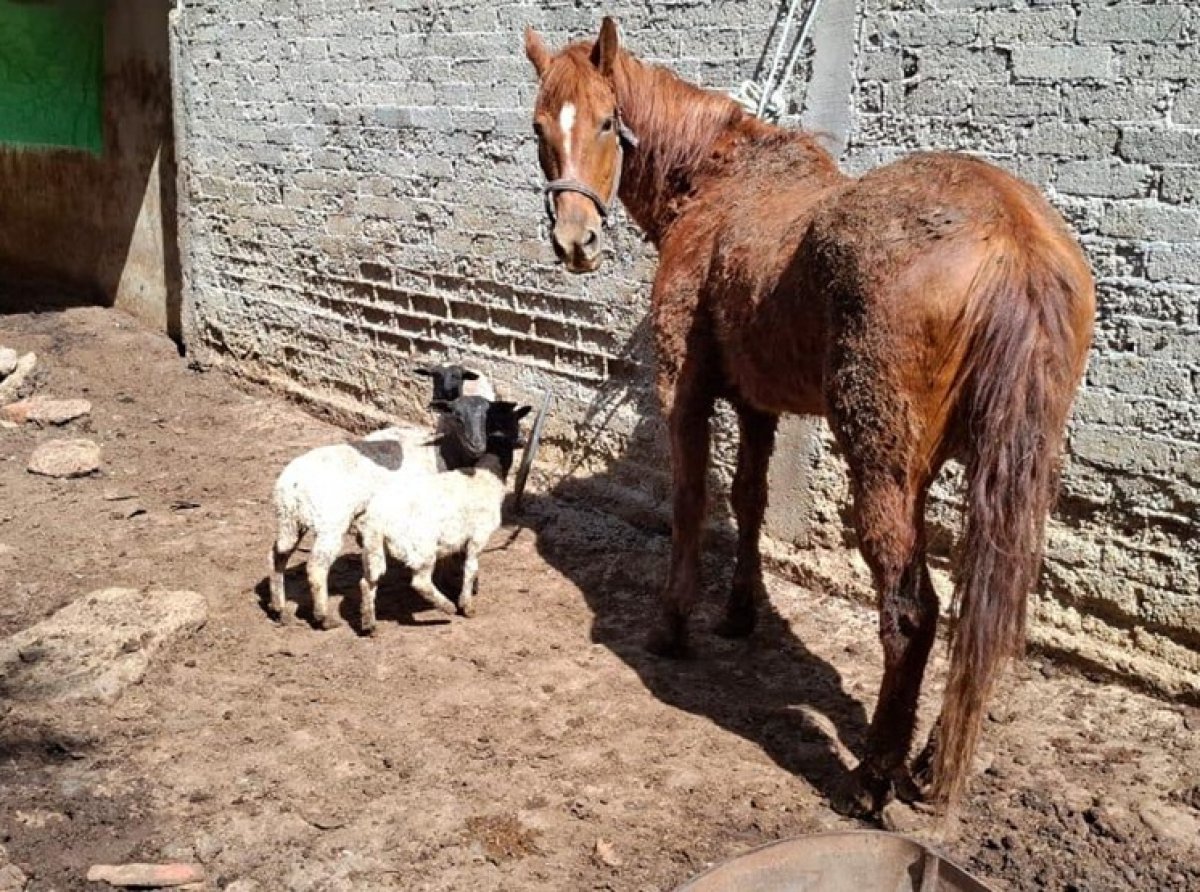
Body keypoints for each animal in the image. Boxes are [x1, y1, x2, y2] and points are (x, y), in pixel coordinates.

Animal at [350, 400, 530, 633]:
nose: (523, 440)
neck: (487, 473)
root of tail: (377, 522)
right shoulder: (478, 536)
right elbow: (471, 567)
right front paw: (466, 605)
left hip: (374, 549)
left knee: (368, 581)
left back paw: (368, 623)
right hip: (421, 548)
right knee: (420, 582)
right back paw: (447, 607)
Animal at [520, 19, 1094, 816]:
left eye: (608, 122)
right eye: (540, 127)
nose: (575, 243)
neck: (718, 184)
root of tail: (1016, 242)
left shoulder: (684, 391)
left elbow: (692, 502)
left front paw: (673, 623)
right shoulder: (758, 403)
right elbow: (749, 501)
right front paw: (739, 613)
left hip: (883, 464)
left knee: (912, 613)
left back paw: (873, 777)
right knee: (979, 610)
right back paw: (927, 761)